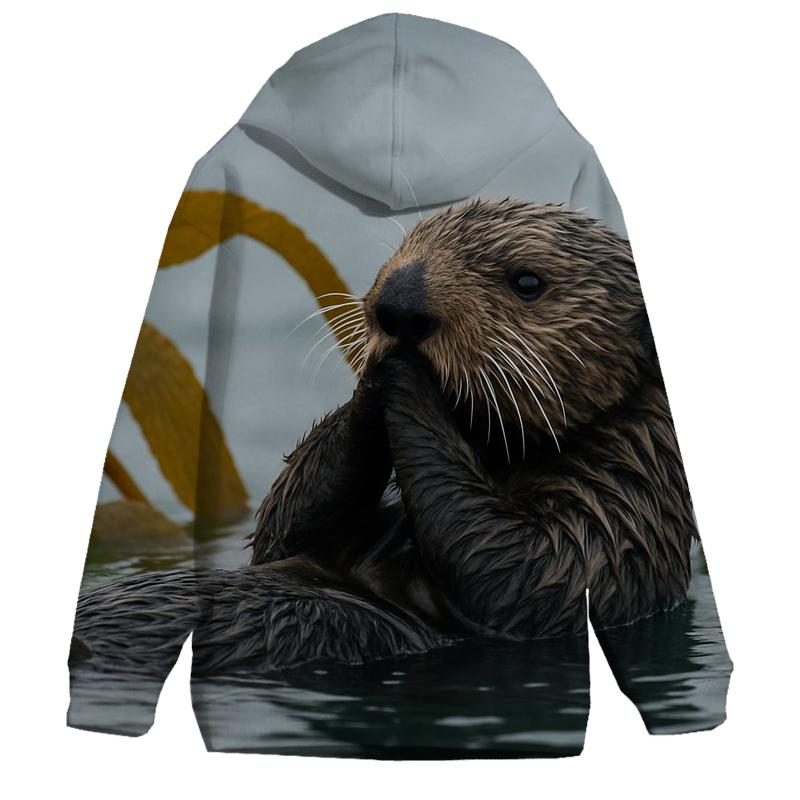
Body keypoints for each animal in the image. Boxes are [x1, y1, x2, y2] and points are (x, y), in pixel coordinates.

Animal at [71, 199, 696, 677]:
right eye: (411, 243)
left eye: (526, 282)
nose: (400, 301)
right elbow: (284, 526)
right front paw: (373, 379)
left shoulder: (618, 517)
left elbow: (528, 574)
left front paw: (408, 377)